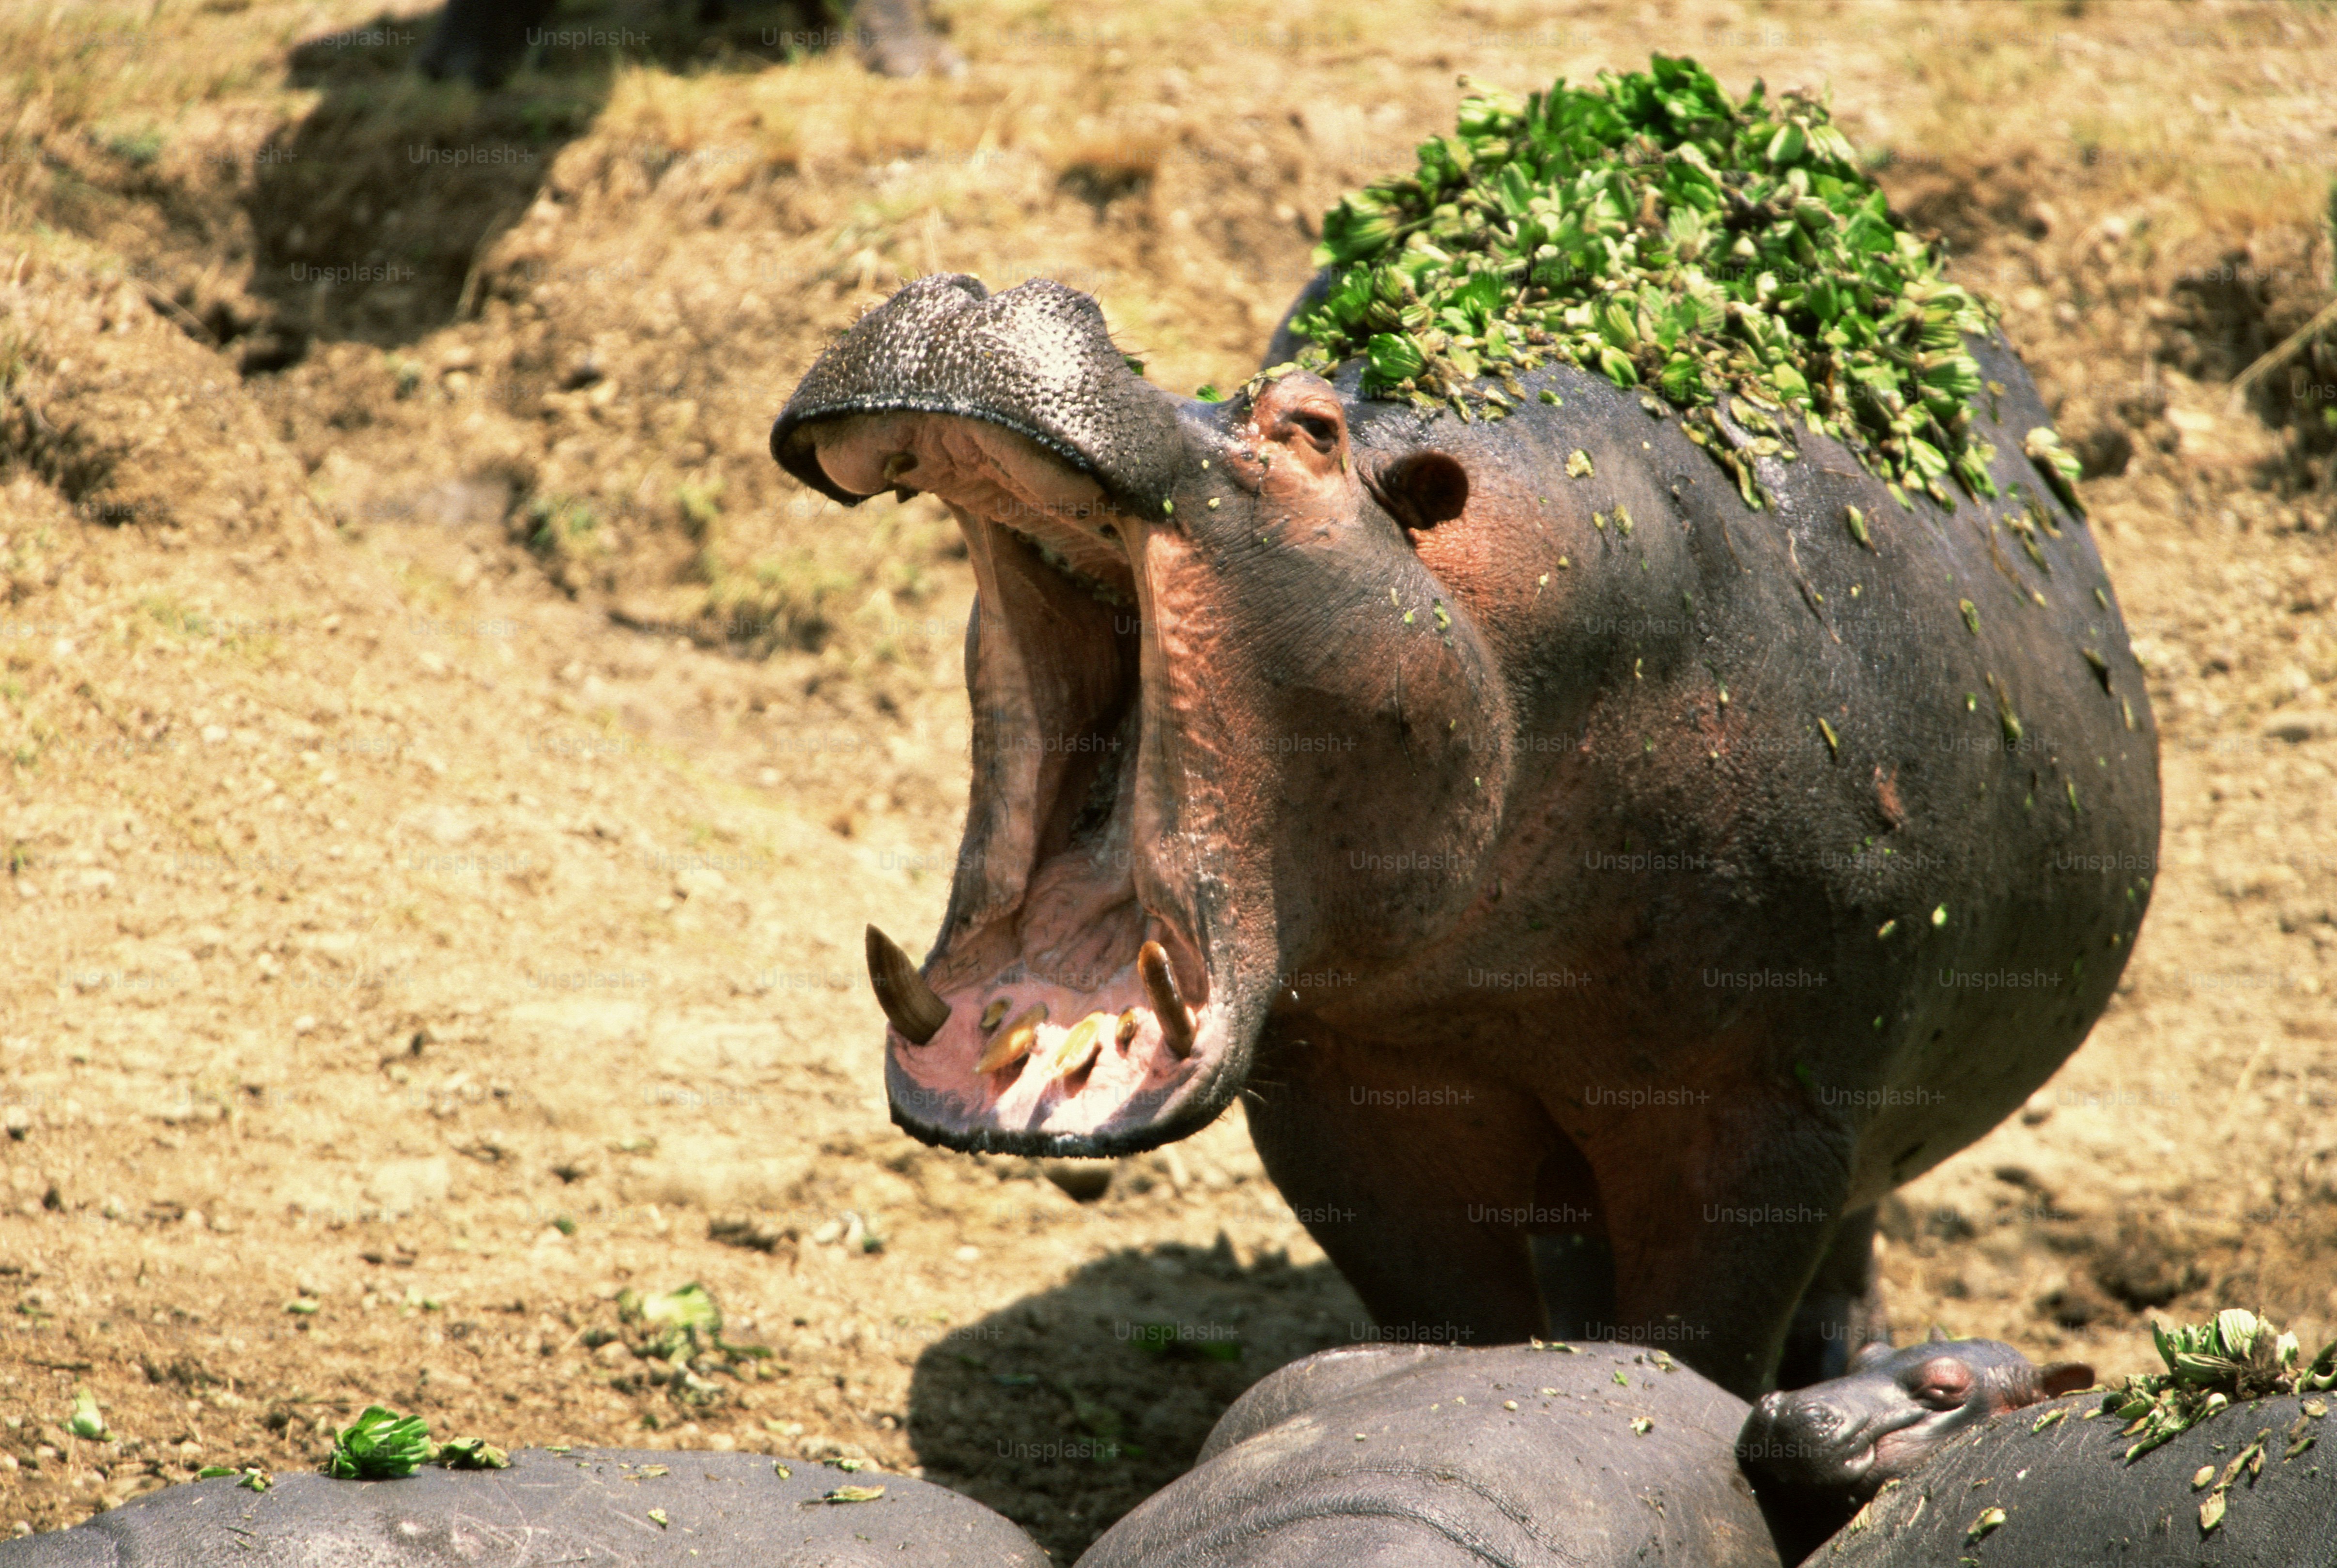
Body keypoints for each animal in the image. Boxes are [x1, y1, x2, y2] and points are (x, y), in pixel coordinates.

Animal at [769, 269, 2160, 1398]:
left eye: (1307, 426)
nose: (992, 287)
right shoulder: (1348, 1099)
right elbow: (1447, 1306)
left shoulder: (1765, 1114)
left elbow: (1704, 1333)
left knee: (1853, 1231)